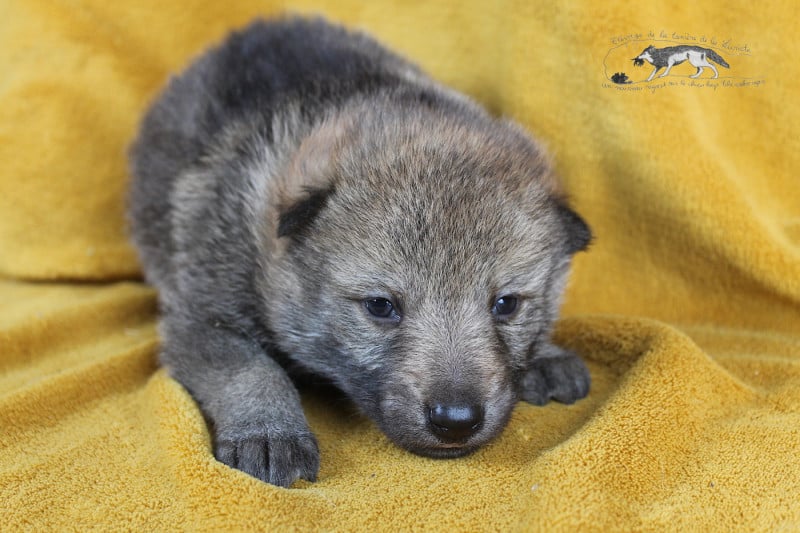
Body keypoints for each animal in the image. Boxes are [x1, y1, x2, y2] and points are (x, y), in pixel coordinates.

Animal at [128, 17, 592, 488]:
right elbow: (249, 368)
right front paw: (268, 431)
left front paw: (546, 355)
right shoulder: (203, 317)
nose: (456, 420)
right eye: (380, 306)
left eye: (506, 304)